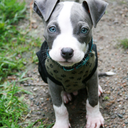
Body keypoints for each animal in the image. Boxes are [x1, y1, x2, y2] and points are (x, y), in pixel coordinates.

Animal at [33, 0, 111, 128]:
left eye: (84, 30)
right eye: (52, 29)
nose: (67, 52)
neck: (70, 70)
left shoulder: (92, 78)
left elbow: (93, 100)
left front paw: (94, 119)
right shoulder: (52, 84)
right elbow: (59, 108)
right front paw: (61, 124)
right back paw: (65, 94)